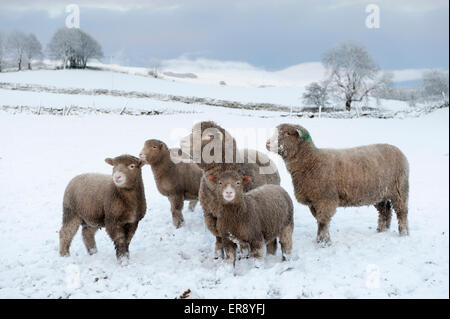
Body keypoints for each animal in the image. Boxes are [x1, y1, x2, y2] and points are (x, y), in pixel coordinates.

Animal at [180, 121, 282, 258]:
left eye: (209, 136)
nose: (182, 141)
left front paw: (243, 254)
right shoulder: (210, 214)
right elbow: (218, 237)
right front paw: (218, 254)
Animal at [266, 124, 410, 244]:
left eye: (287, 133)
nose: (267, 143)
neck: (311, 161)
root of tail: (398, 150)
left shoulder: (326, 199)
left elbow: (323, 222)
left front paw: (323, 242)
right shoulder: (314, 201)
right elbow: (319, 220)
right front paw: (321, 240)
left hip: (400, 189)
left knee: (402, 212)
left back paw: (403, 233)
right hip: (380, 193)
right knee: (385, 211)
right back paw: (381, 230)